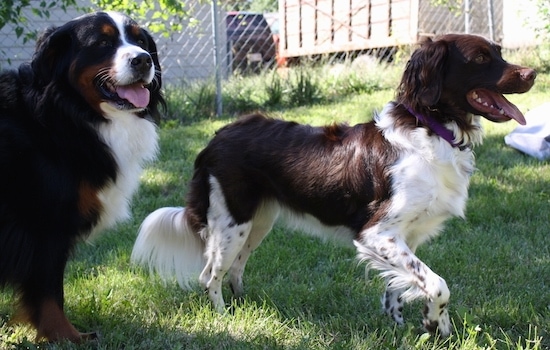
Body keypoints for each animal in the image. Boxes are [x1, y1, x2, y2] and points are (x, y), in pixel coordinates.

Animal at [0, 11, 164, 344]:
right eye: (102, 43)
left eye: (140, 40)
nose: (142, 60)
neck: (61, 115)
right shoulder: (45, 225)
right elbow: (49, 292)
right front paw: (66, 336)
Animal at [132, 33, 536, 336]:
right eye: (481, 58)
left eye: (499, 52)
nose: (532, 73)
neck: (430, 128)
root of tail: (215, 139)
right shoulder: (377, 232)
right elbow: (438, 285)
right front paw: (436, 324)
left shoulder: (405, 237)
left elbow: (400, 286)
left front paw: (403, 326)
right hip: (232, 220)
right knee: (209, 274)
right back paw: (223, 318)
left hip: (258, 221)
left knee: (235, 268)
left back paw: (246, 303)